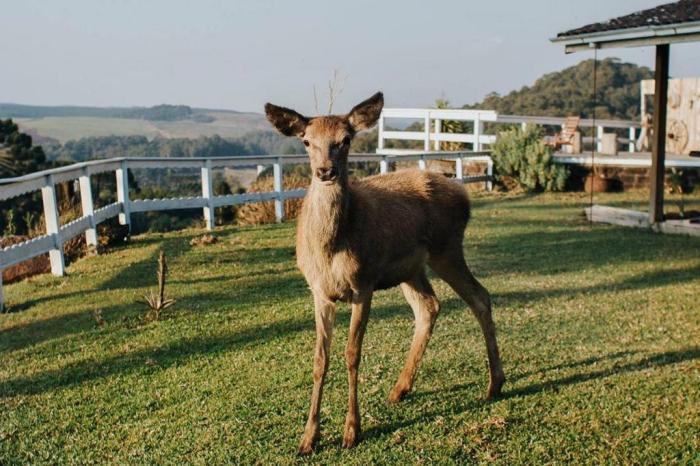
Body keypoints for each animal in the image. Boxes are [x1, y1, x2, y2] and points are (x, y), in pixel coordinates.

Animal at [264, 92, 504, 456]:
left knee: (479, 296)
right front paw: (308, 438)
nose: (325, 171)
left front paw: (352, 431)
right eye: (306, 141)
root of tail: (464, 194)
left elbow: (352, 354)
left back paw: (494, 384)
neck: (330, 249)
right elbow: (320, 359)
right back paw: (400, 389)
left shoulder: (364, 284)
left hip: (447, 249)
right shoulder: (319, 292)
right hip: (412, 268)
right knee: (429, 306)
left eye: (345, 139)